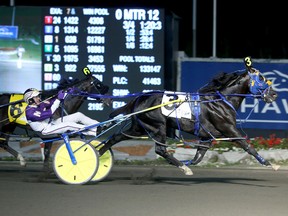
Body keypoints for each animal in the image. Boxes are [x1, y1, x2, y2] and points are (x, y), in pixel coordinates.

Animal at [99, 57, 280, 176]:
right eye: (262, 77)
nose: (274, 94)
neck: (220, 101)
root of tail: (139, 98)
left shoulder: (206, 137)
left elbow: (198, 157)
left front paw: (186, 162)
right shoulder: (229, 129)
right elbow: (247, 146)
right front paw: (271, 165)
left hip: (139, 128)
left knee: (116, 137)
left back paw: (99, 155)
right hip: (157, 126)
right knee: (160, 149)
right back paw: (183, 167)